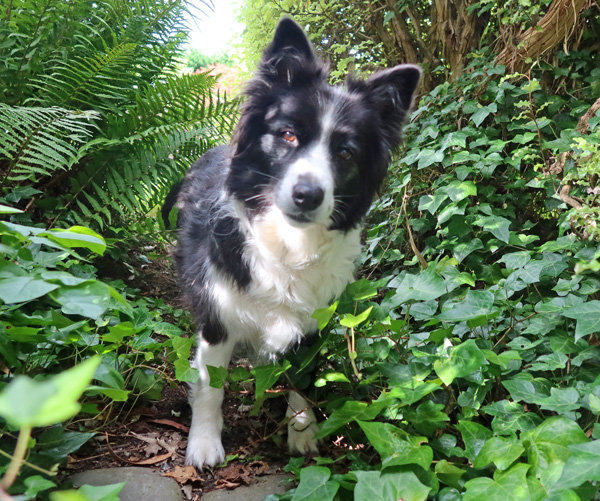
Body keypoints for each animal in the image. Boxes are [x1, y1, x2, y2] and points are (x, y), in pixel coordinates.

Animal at [169, 16, 422, 468]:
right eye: (287, 135)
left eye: (345, 152)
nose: (308, 195)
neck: (287, 244)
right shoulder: (218, 317)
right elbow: (211, 387)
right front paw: (204, 443)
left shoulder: (313, 323)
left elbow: (302, 380)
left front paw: (302, 431)